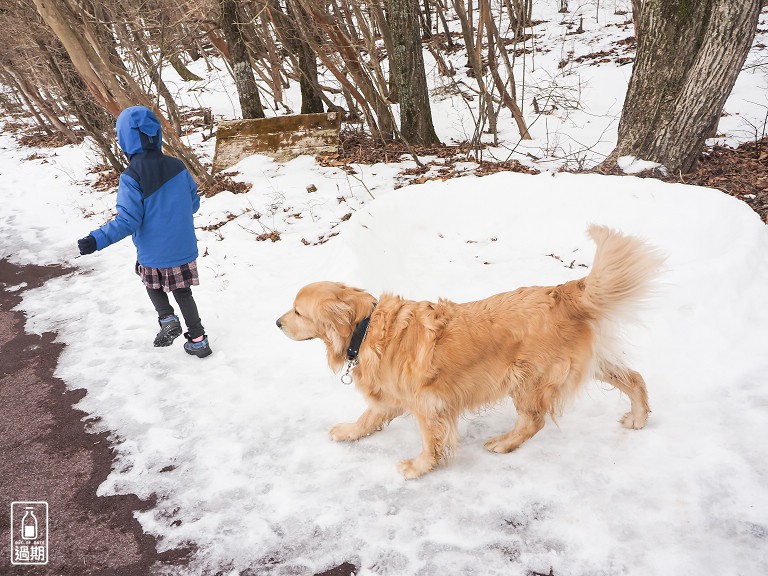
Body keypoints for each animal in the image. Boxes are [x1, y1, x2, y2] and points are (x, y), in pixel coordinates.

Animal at [280, 227, 664, 480]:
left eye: (297, 312)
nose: (276, 322)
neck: (366, 326)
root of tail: (563, 291)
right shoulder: (391, 395)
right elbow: (368, 417)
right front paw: (349, 432)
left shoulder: (428, 403)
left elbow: (430, 440)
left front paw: (419, 467)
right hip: (587, 364)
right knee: (634, 377)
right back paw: (638, 417)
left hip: (528, 378)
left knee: (533, 421)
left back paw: (504, 443)